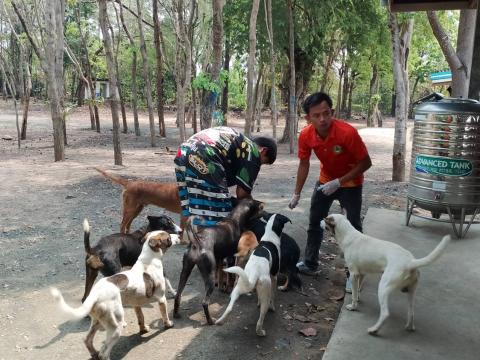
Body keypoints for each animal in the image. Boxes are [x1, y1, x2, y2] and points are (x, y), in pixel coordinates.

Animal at [50, 229, 180, 358]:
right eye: (168, 237)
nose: (179, 235)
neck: (149, 260)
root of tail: (95, 294)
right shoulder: (162, 299)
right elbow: (165, 316)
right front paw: (168, 324)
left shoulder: (136, 304)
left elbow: (141, 318)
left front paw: (143, 329)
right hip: (116, 327)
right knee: (104, 353)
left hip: (98, 321)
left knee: (87, 340)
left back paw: (94, 353)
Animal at [322, 214, 450, 334]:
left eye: (325, 219)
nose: (320, 221)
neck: (348, 234)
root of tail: (410, 262)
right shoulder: (362, 274)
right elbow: (358, 290)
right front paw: (358, 298)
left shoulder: (354, 275)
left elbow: (353, 294)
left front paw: (353, 306)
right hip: (411, 292)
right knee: (411, 311)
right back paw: (410, 327)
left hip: (383, 288)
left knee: (385, 313)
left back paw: (374, 329)